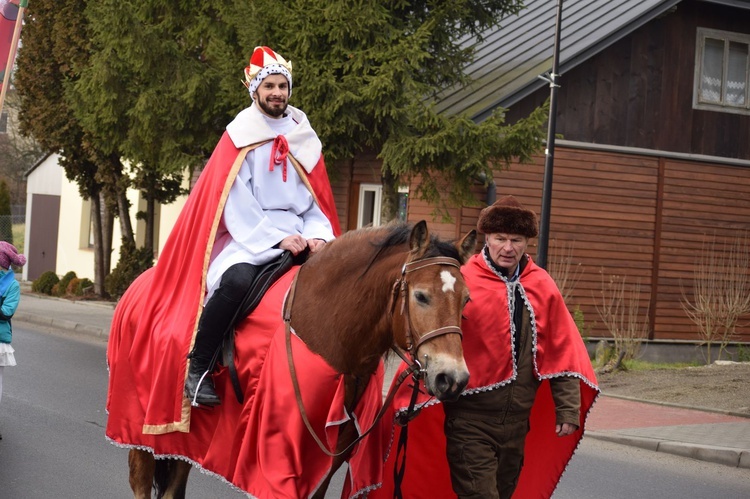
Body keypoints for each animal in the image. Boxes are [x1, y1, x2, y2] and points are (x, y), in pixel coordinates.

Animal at [123, 223, 476, 499]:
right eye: (421, 296)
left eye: (466, 299)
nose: (453, 377)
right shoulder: (281, 464)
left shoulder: (326, 465)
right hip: (144, 435)